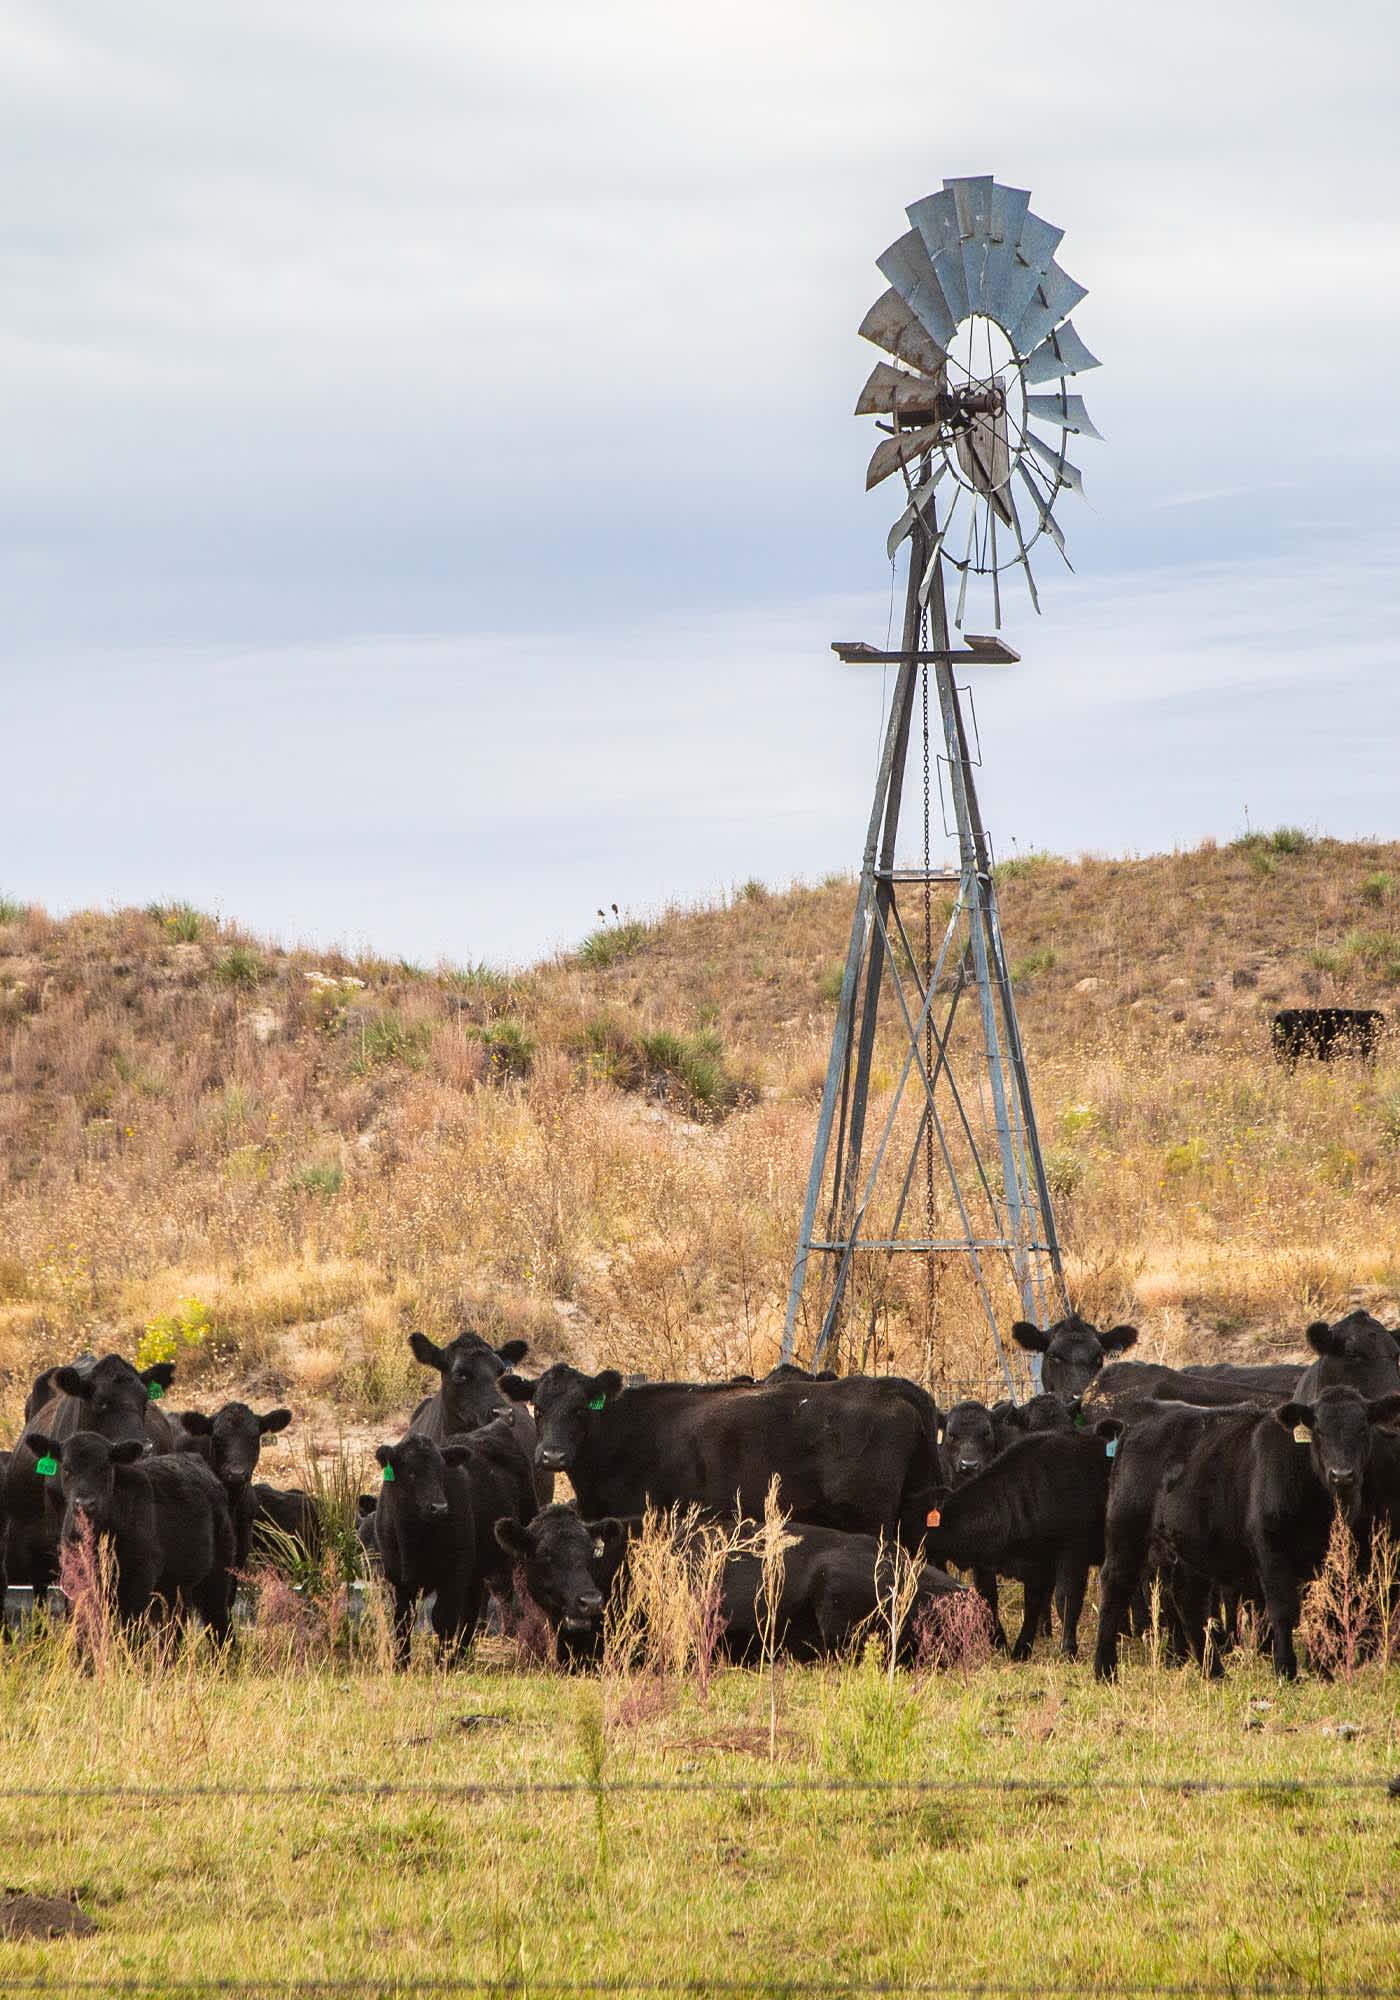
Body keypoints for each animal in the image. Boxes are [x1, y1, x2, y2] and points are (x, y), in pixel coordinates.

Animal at [25, 1429, 235, 1640]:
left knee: (220, 1627)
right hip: (174, 1587)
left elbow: (132, 1635)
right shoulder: (79, 1583)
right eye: (67, 1469)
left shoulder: (138, 1583)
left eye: (105, 1468)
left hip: (217, 1575)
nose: (85, 1503)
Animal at [922, 1425, 1121, 1660]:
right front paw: (1012, 1646)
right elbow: (1000, 1600)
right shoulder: (1015, 1566)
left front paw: (1068, 1650)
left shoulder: (1072, 1557)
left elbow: (1065, 1601)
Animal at [1093, 1388, 1400, 1681]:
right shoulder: (1270, 1548)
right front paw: (1286, 1671)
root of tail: (1145, 1412)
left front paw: (1322, 1671)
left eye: (1363, 1429)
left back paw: (1214, 1673)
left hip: (1188, 1544)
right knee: (1115, 1585)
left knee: (1189, 1600)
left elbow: (1323, 1612)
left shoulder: (1326, 1556)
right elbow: (1283, 1609)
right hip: (1127, 1530)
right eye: (1319, 1431)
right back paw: (1105, 1671)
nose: (1342, 1475)